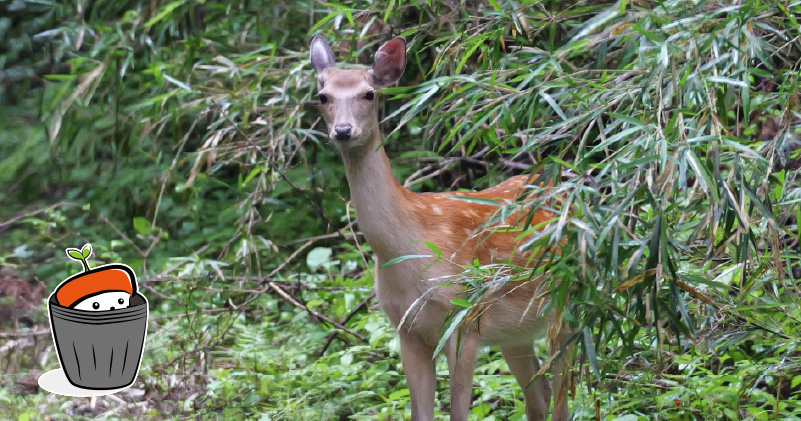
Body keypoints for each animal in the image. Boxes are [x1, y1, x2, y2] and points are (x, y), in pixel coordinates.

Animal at [310, 34, 572, 421]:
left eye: (369, 93)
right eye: (322, 96)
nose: (343, 131)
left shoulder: (464, 319)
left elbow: (458, 412)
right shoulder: (406, 330)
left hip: (567, 301)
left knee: (563, 397)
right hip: (515, 333)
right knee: (538, 394)